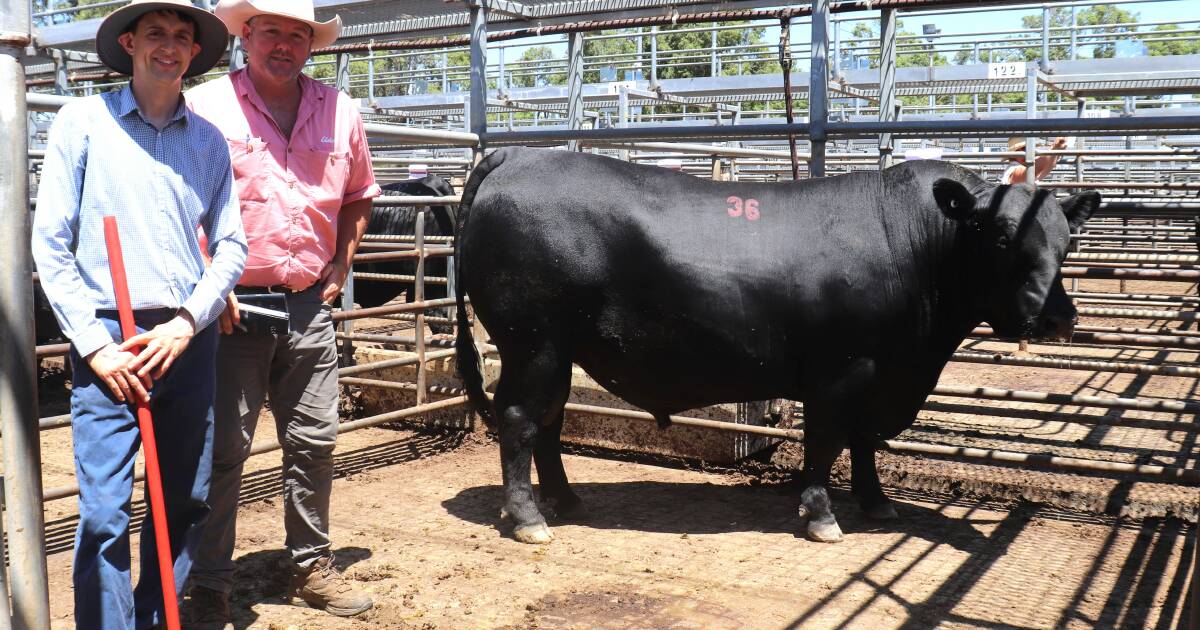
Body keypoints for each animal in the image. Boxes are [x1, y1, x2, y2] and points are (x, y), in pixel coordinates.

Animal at [453, 148, 1099, 544]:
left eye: (1067, 240)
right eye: (999, 235)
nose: (1057, 318)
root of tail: (520, 155)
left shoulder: (878, 374)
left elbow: (862, 441)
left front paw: (875, 502)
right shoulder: (842, 371)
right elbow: (827, 441)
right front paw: (821, 515)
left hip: (558, 350)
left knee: (549, 419)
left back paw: (564, 500)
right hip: (533, 343)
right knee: (520, 417)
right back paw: (528, 517)